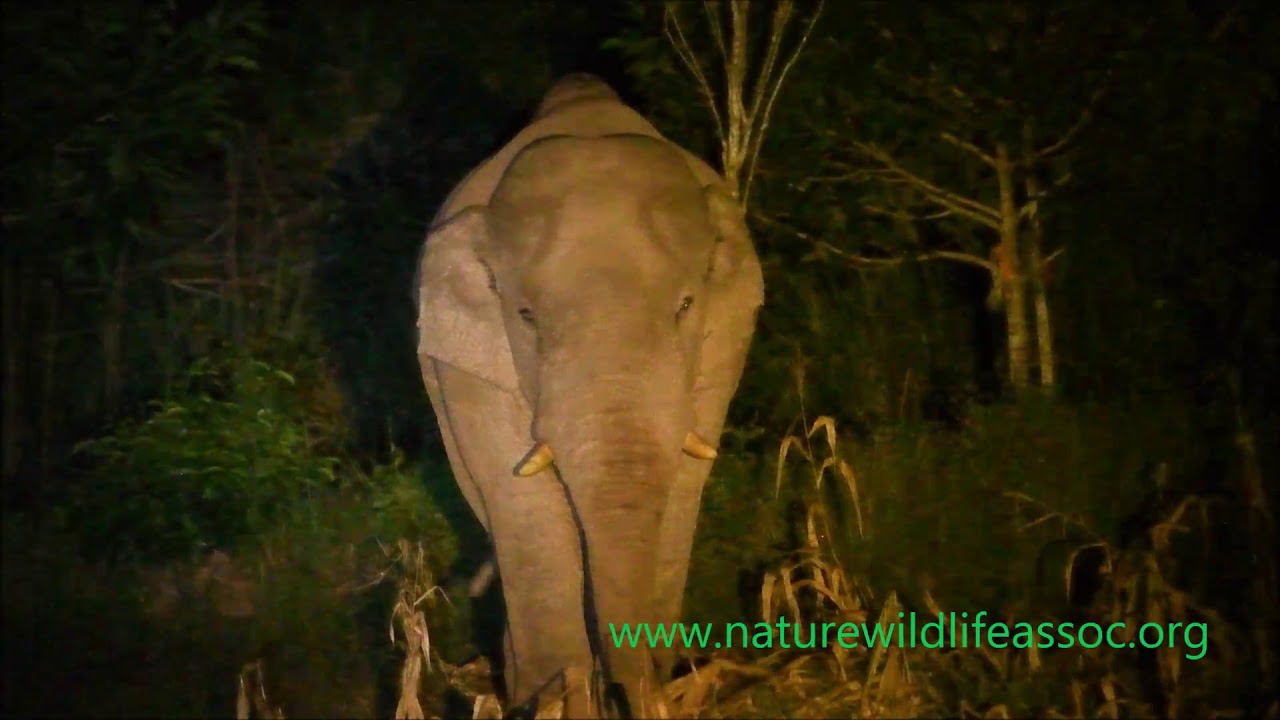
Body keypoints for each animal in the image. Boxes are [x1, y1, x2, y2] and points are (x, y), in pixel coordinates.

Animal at [414, 74, 762, 718]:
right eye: (526, 317)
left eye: (686, 305)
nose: (640, 694)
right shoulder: (471, 366)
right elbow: (522, 500)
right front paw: (558, 695)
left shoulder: (725, 340)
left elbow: (684, 484)